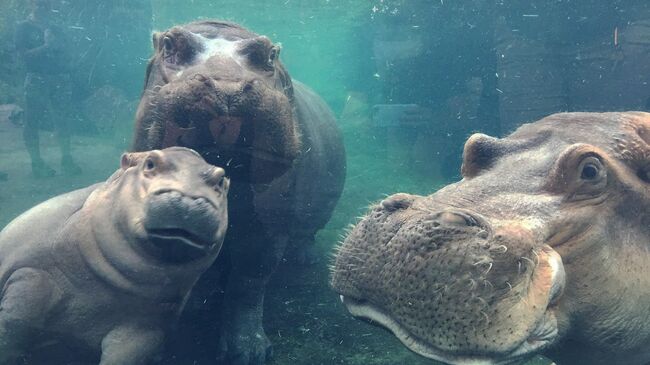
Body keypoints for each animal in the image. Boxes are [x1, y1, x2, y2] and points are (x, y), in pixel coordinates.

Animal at [0, 146, 230, 362]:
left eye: (221, 179)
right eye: (150, 163)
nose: (189, 198)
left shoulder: (145, 326)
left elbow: (125, 355)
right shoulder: (32, 275)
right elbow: (13, 326)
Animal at [132, 20, 344, 364]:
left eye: (269, 53)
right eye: (169, 43)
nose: (225, 88)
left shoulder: (268, 225)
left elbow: (249, 281)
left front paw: (248, 352)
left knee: (304, 235)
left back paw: (305, 258)